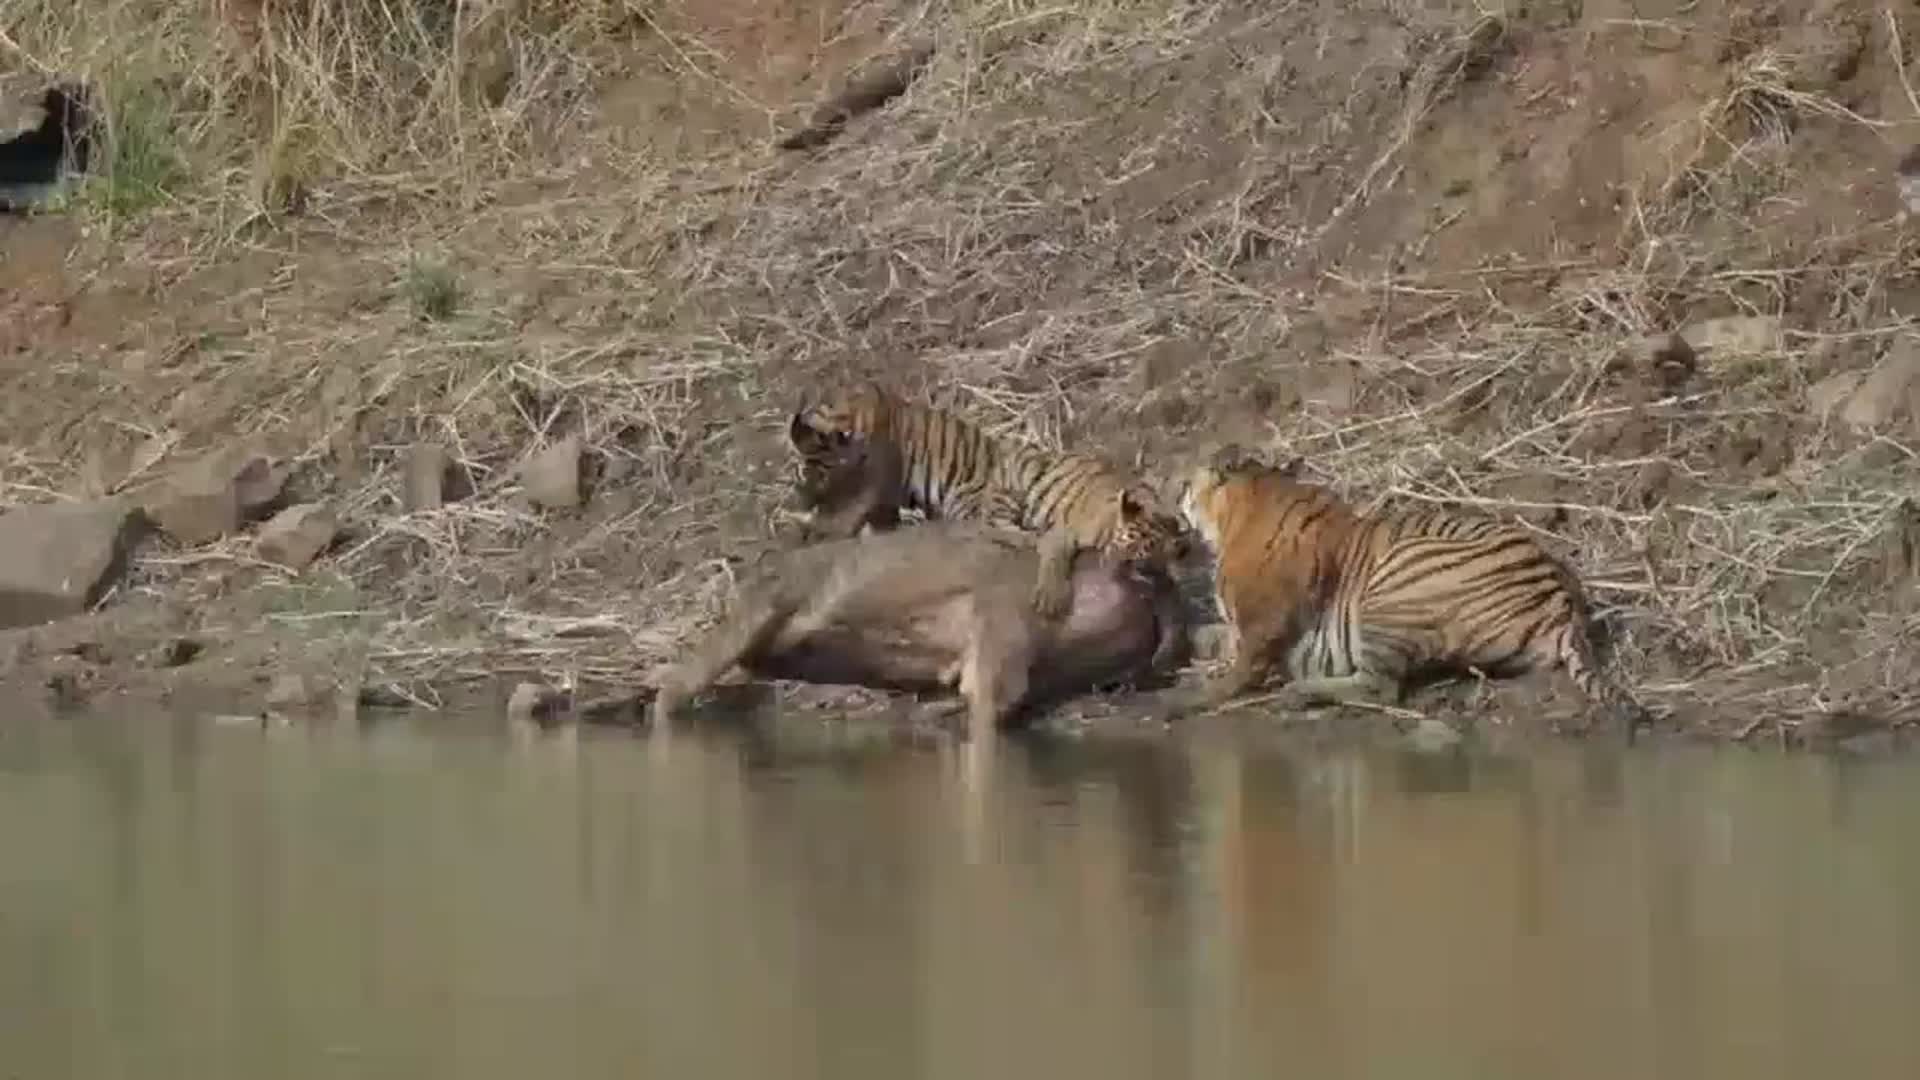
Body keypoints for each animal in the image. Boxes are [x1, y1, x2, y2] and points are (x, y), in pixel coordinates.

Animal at [1167, 443, 1651, 730]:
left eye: (1186, 484)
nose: (1173, 494)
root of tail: (1562, 599)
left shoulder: (1262, 625)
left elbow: (1238, 668)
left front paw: (1192, 698)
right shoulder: (1237, 627)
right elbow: (1209, 636)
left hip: (1392, 587)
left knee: (1381, 686)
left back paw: (1299, 692)